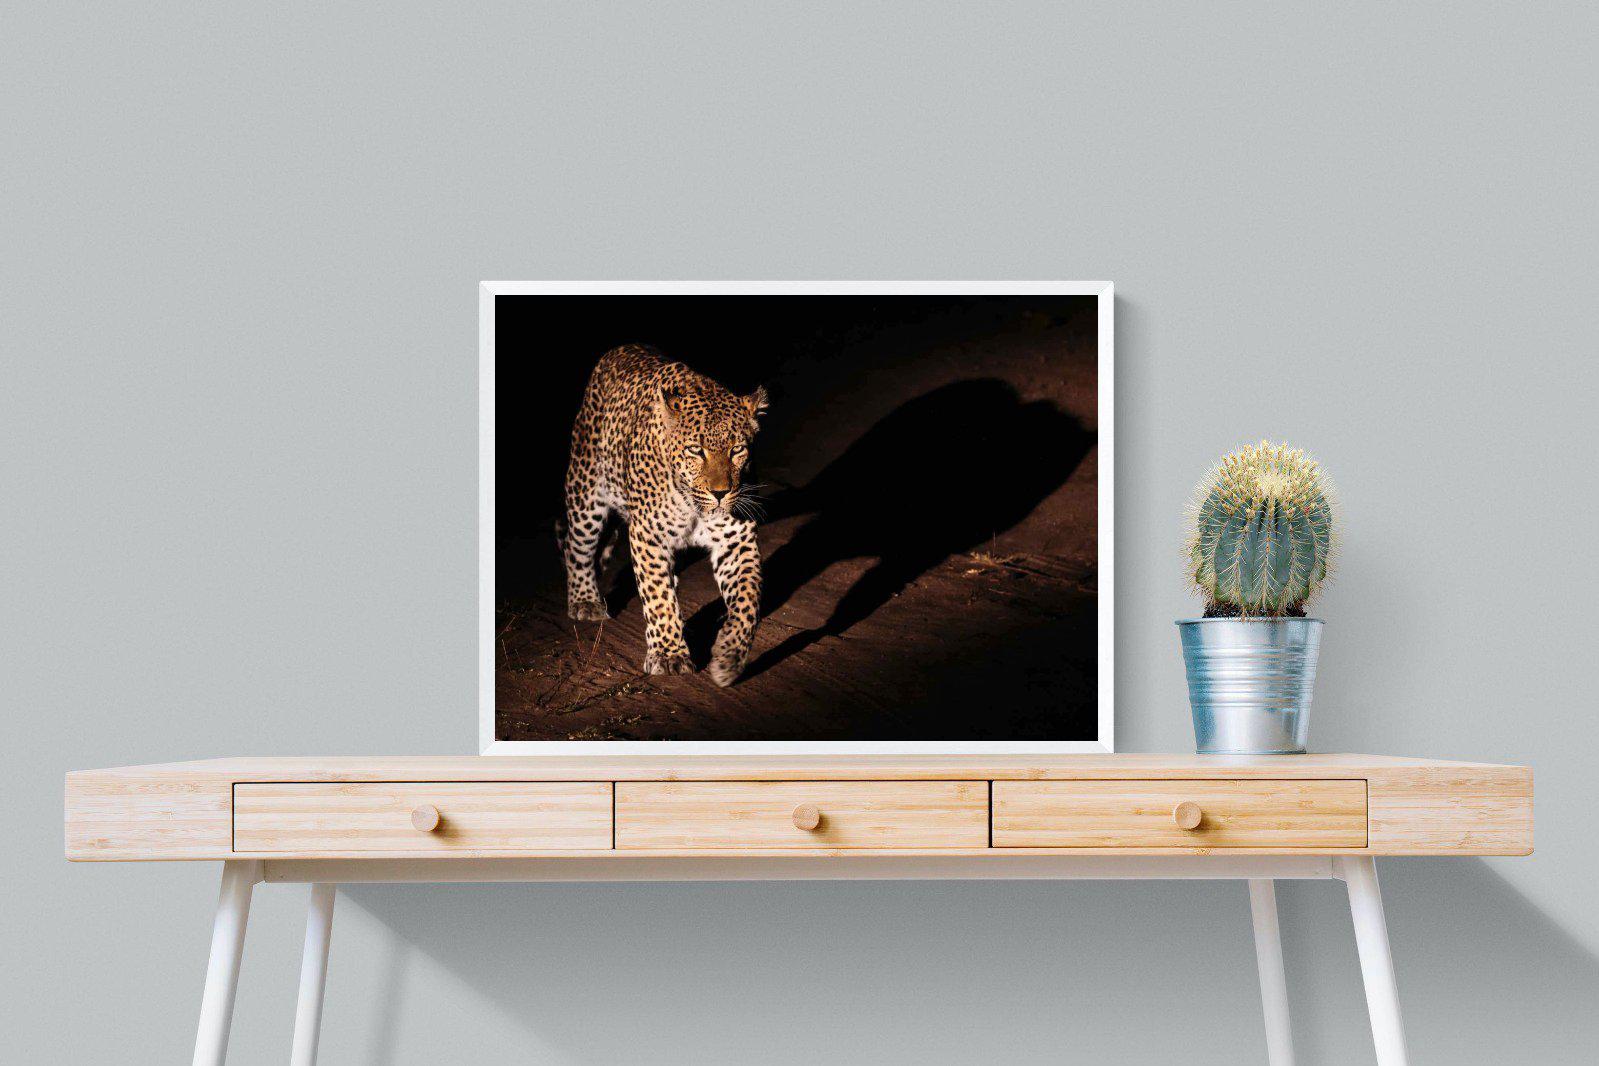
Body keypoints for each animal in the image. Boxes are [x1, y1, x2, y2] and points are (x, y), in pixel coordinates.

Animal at [561, 344, 767, 687]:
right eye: (696, 450)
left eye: (737, 450)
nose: (721, 493)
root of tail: (621, 348)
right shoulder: (648, 535)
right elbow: (657, 596)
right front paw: (669, 655)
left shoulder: (735, 540)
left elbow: (747, 600)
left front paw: (729, 656)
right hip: (585, 493)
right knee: (576, 548)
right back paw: (585, 601)